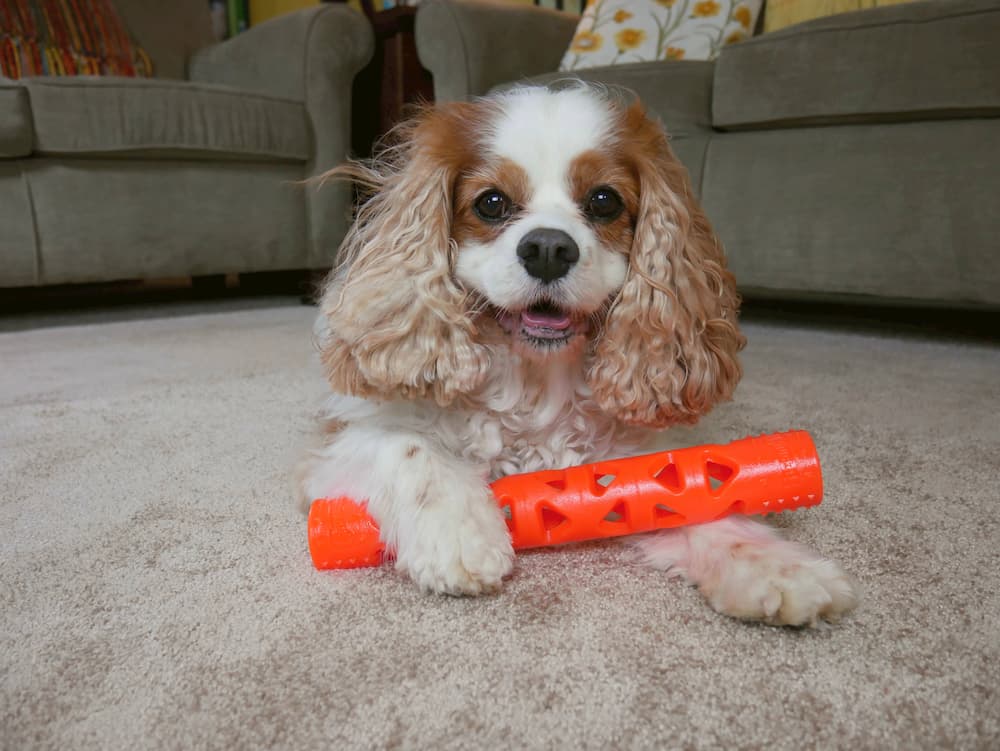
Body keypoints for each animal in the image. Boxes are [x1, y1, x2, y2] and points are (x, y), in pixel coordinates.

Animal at [296, 82, 860, 624]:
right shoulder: (341, 441)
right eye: (491, 203)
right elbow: (409, 448)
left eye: (604, 200)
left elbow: (686, 496)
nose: (547, 247)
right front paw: (458, 531)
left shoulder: (631, 461)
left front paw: (774, 564)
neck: (536, 380)